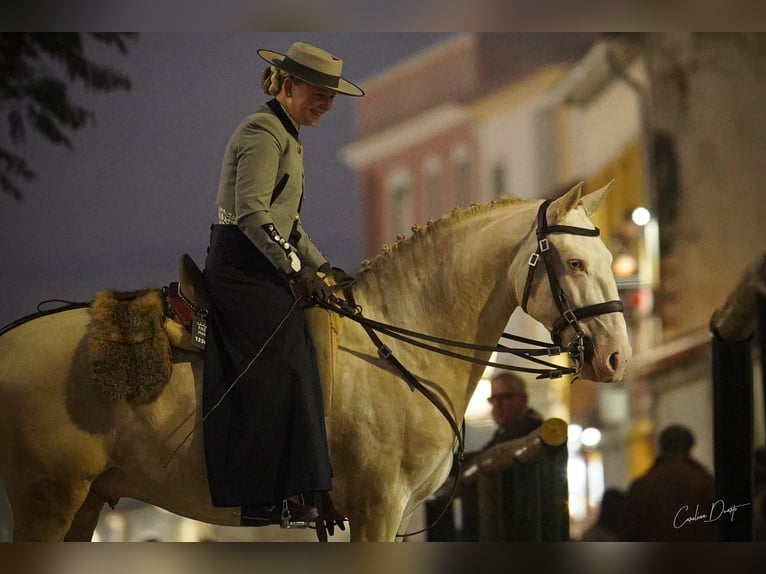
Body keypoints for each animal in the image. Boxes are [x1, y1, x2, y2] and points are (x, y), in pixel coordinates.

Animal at [0, 182, 632, 544]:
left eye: (605, 257)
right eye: (574, 262)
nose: (616, 355)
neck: (399, 346)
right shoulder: (377, 510)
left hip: (86, 501)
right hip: (48, 500)